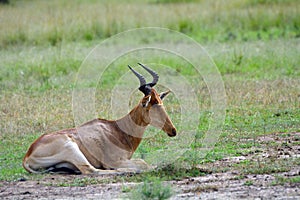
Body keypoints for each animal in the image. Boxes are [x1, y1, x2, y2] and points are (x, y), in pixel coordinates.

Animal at [24, 63, 178, 174]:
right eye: (150, 106)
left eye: (161, 102)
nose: (172, 130)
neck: (116, 129)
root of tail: (27, 155)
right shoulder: (114, 161)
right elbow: (143, 163)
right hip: (71, 148)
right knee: (92, 170)